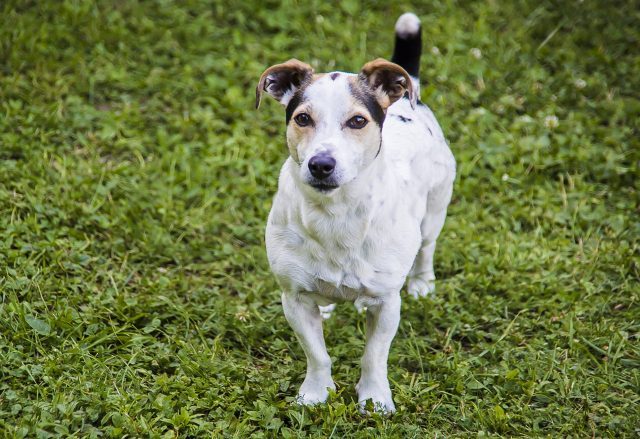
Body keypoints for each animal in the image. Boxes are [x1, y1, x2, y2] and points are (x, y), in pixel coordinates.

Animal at [255, 12, 456, 414]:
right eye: (302, 118)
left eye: (358, 121)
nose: (321, 164)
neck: (335, 215)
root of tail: (410, 98)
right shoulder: (293, 299)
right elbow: (317, 354)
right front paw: (315, 393)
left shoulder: (386, 303)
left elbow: (374, 357)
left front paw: (375, 399)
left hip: (435, 210)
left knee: (426, 248)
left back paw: (423, 283)